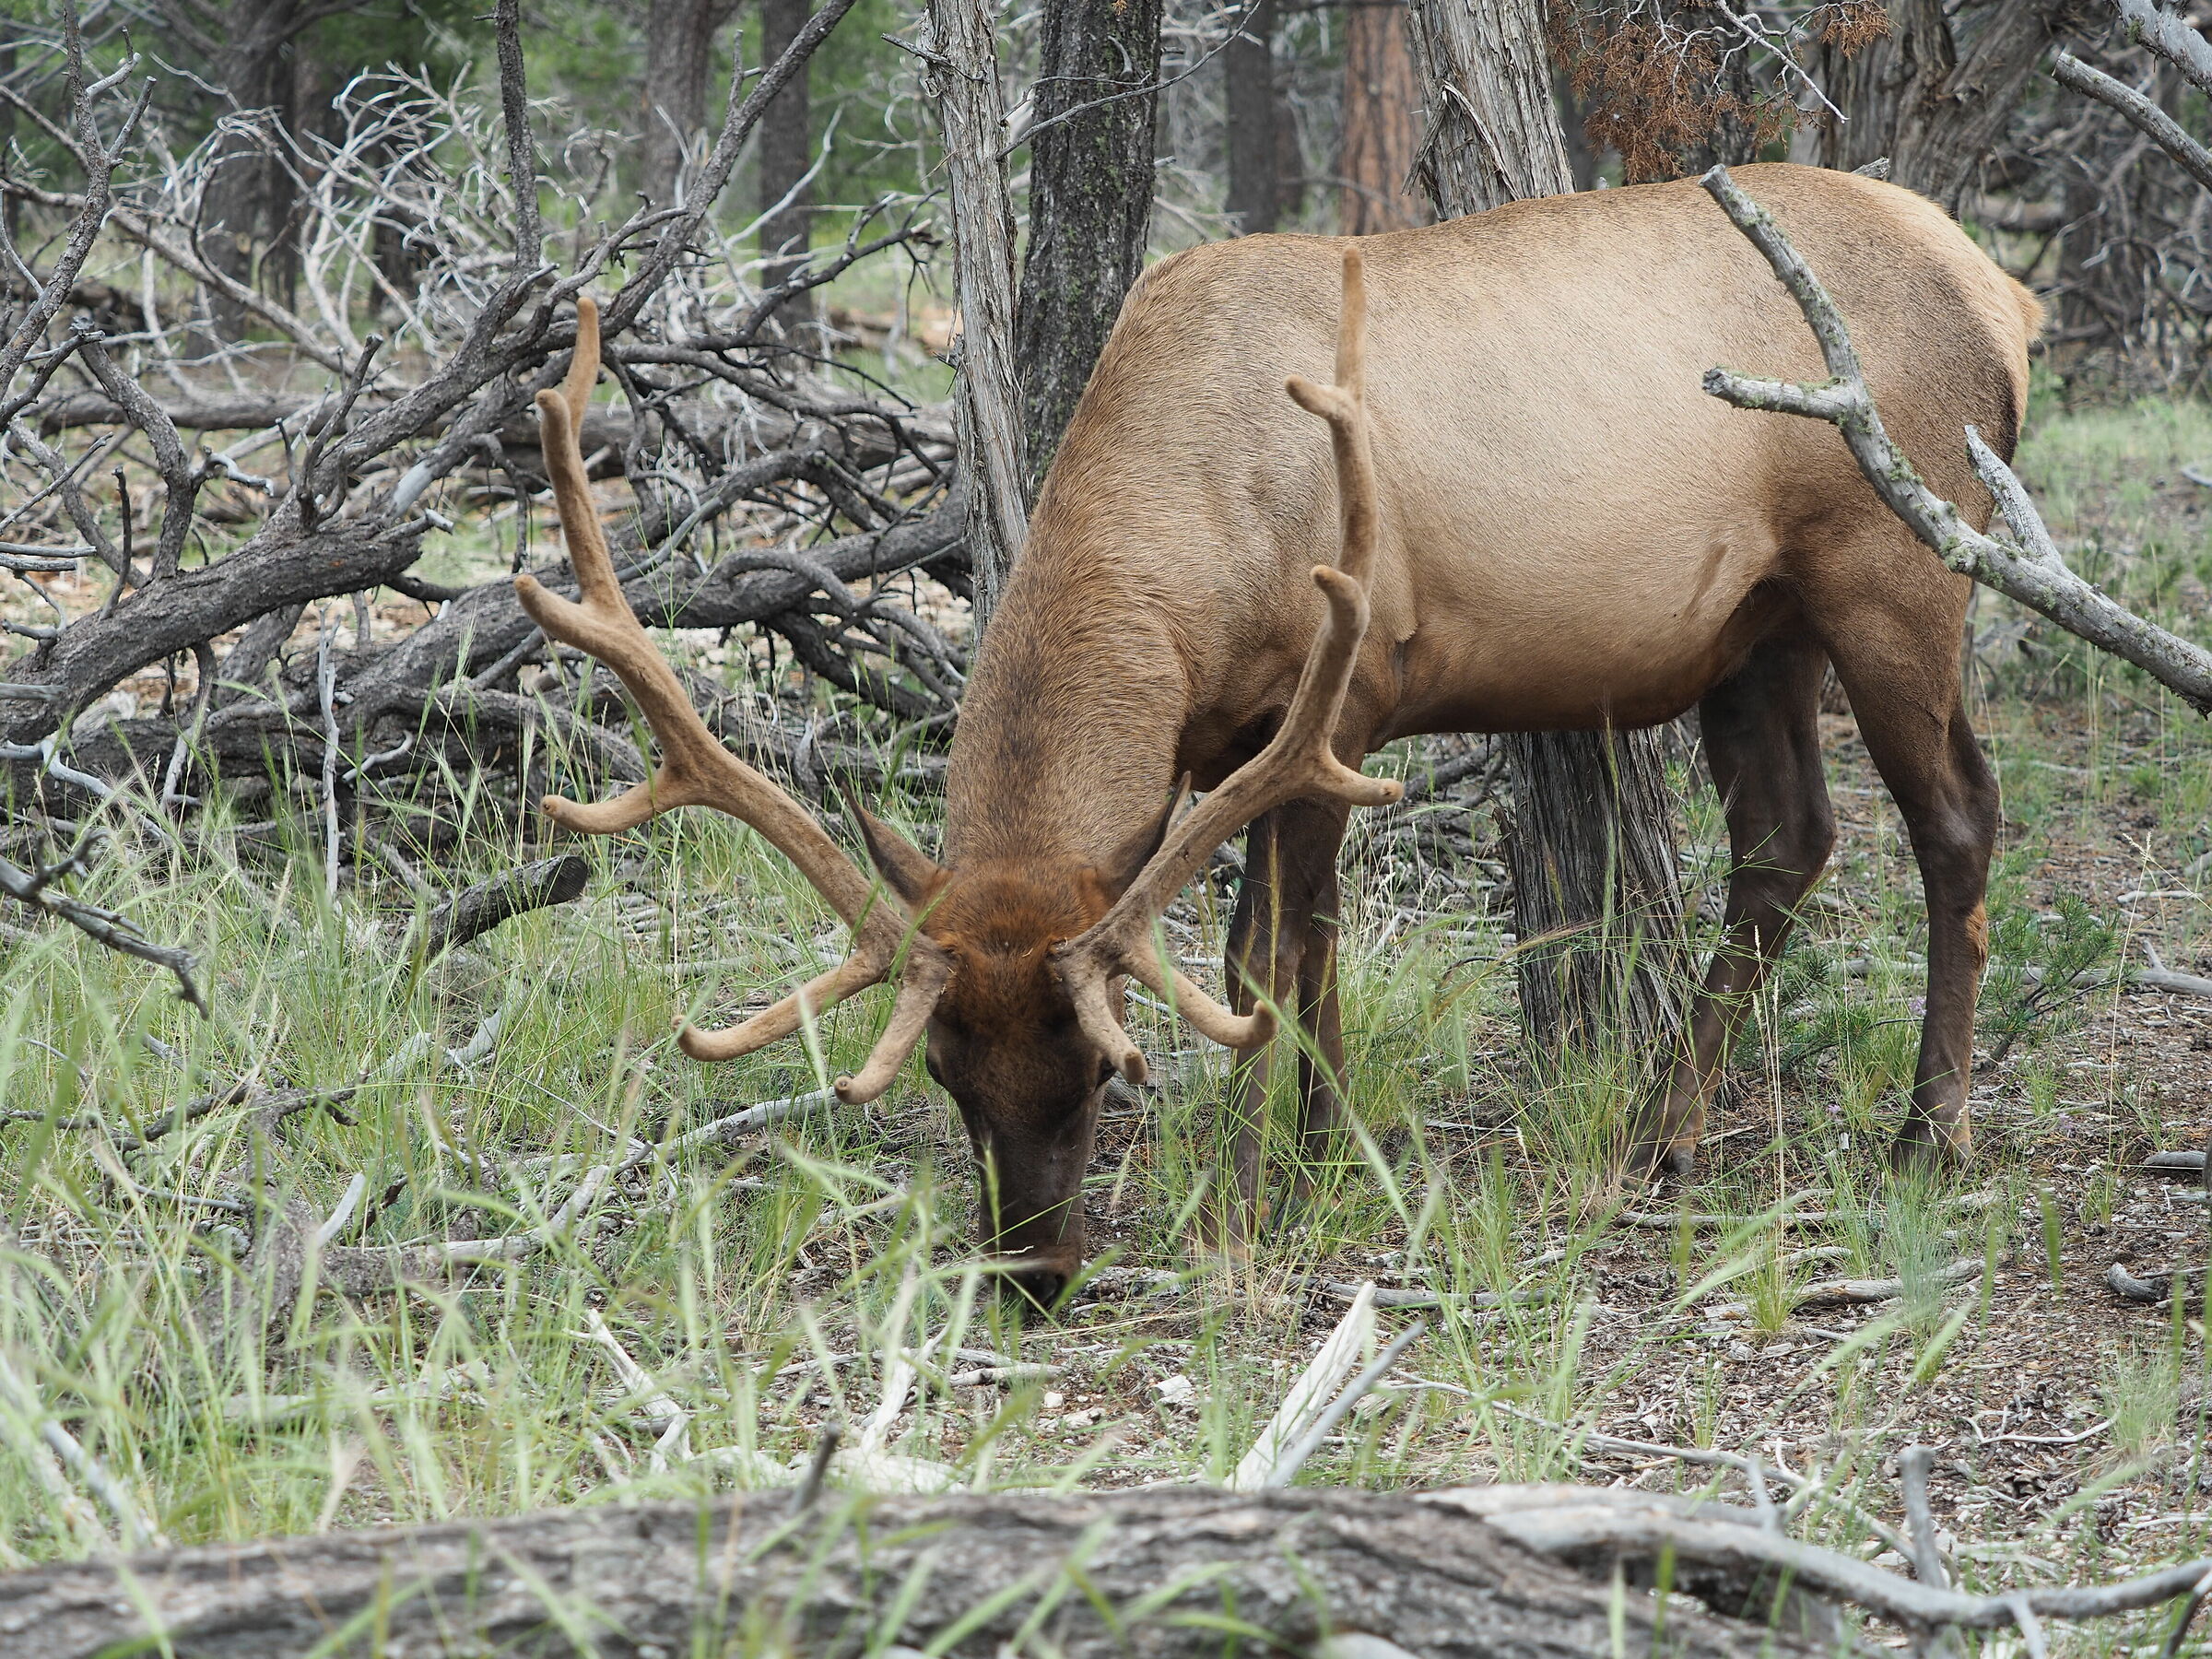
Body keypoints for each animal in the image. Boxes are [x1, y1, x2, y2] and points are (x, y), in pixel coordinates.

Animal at [521, 162, 2040, 1306]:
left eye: (1100, 1069)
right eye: (947, 1072)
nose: (1035, 1272)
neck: (1192, 543)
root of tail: (2006, 297)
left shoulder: (1340, 693)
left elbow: (1267, 953)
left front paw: (1250, 1192)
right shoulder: (1237, 741)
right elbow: (1310, 951)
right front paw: (1326, 1150)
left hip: (1894, 565)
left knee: (1957, 816)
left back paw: (1931, 1130)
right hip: (1757, 627)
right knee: (1788, 838)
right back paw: (1670, 1131)